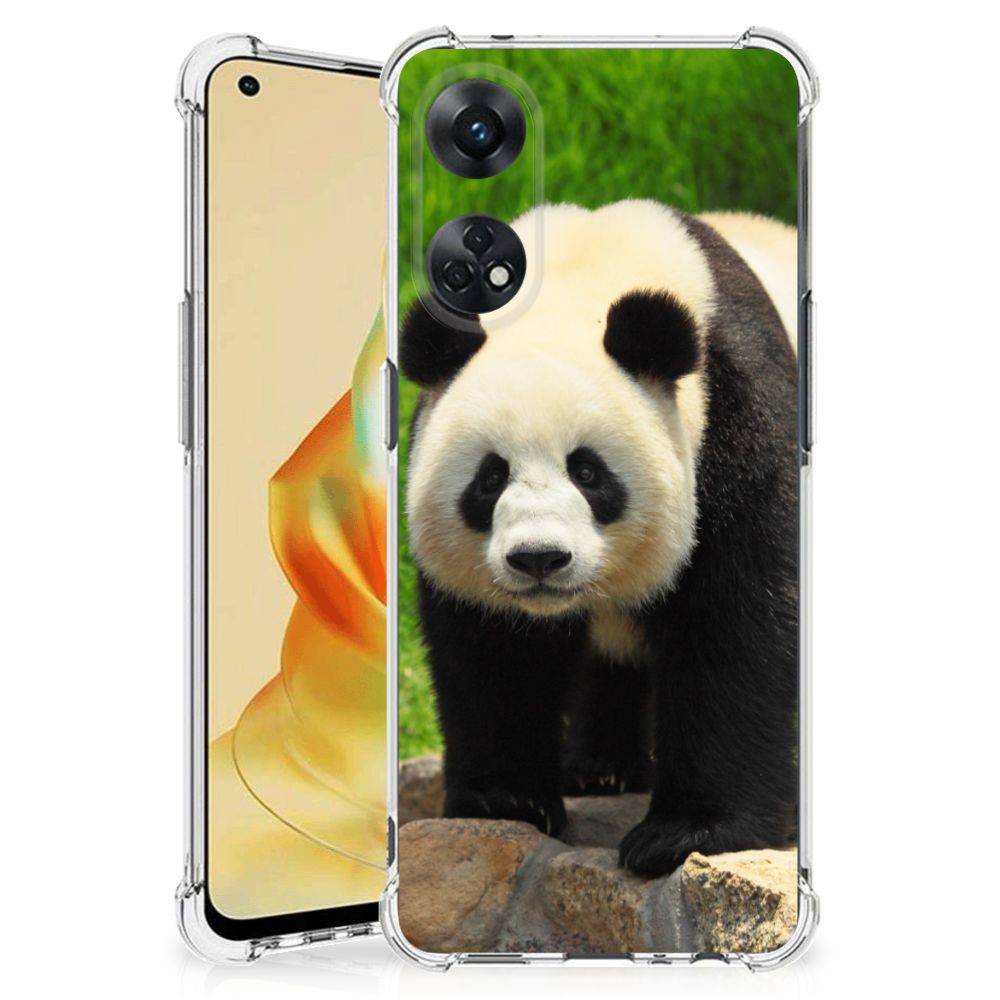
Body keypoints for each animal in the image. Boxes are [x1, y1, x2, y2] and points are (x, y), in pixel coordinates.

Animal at [400, 199, 799, 877]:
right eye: (490, 477)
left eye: (588, 472)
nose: (539, 558)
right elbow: (492, 650)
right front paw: (507, 800)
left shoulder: (739, 418)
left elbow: (739, 623)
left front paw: (685, 832)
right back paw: (601, 769)